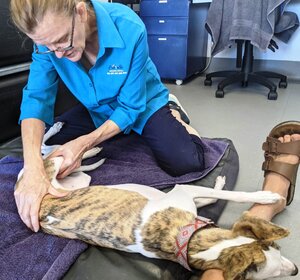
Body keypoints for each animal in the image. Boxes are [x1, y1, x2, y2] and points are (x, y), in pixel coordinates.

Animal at [15, 122, 298, 280]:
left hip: (80, 180)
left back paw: (89, 148)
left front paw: (217, 182)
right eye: (274, 272)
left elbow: (209, 196)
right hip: (54, 169)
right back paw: (73, 141)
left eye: (276, 248)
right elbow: (227, 194)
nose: (295, 270)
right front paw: (266, 196)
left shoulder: (179, 195)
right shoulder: (182, 190)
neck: (186, 239)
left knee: (59, 154)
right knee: (48, 151)